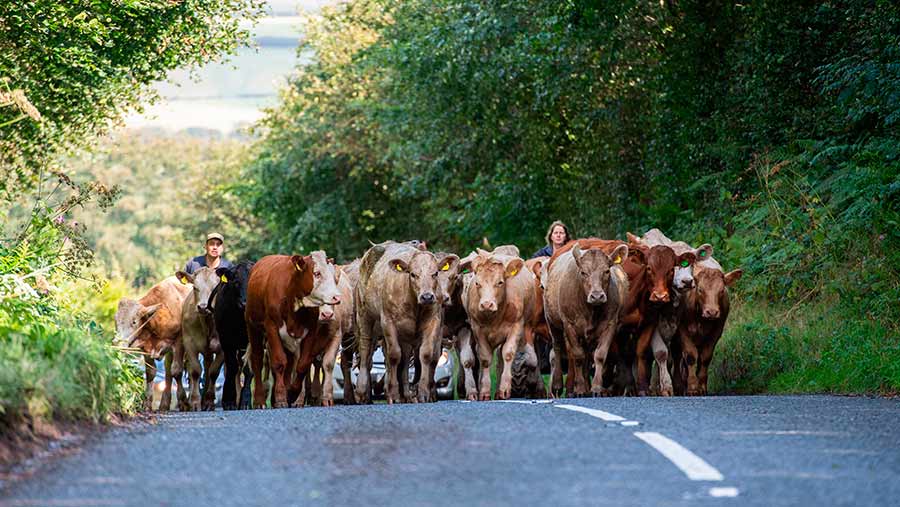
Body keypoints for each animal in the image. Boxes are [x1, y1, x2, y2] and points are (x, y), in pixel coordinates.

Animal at [116, 278, 190, 412]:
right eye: (116, 320)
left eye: (134, 322)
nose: (116, 342)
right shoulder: (146, 347)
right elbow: (150, 372)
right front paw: (147, 404)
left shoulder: (179, 342)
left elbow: (177, 370)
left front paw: (184, 401)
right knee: (168, 370)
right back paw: (164, 404)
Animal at [212, 260, 253, 410]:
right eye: (235, 282)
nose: (245, 303)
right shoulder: (226, 340)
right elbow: (232, 367)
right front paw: (229, 400)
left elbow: (248, 369)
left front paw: (245, 401)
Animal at [243, 251, 342, 408]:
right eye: (317, 273)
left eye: (334, 276)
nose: (336, 297)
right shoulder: (271, 327)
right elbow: (278, 362)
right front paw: (281, 399)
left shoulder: (311, 330)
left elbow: (302, 364)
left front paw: (291, 394)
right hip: (253, 327)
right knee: (257, 360)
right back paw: (259, 400)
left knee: (289, 364)